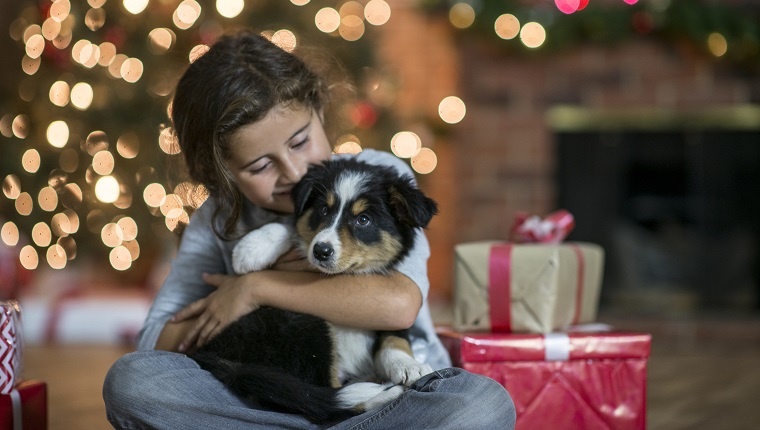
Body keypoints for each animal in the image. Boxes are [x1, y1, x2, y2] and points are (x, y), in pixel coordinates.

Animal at [190, 157, 440, 424]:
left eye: (363, 219)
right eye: (323, 210)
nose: (321, 251)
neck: (344, 277)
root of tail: (217, 356)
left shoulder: (389, 312)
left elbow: (394, 338)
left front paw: (408, 365)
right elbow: (293, 226)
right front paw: (252, 248)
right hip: (304, 324)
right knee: (321, 403)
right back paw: (383, 395)